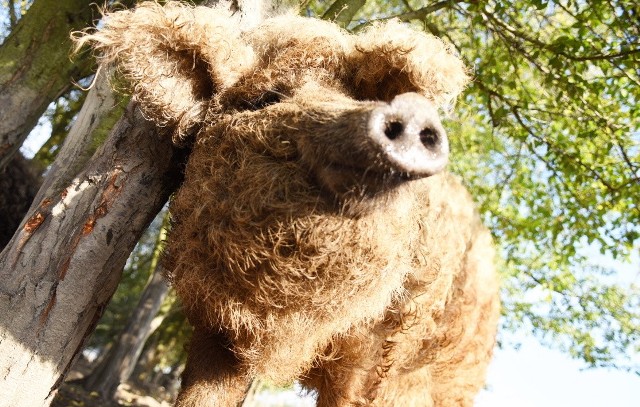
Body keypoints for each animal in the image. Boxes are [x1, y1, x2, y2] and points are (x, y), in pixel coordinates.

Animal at [81, 1, 500, 406]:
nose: (413, 113)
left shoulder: (380, 356)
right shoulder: (220, 327)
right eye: (265, 98)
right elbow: (203, 393)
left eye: (355, 98)